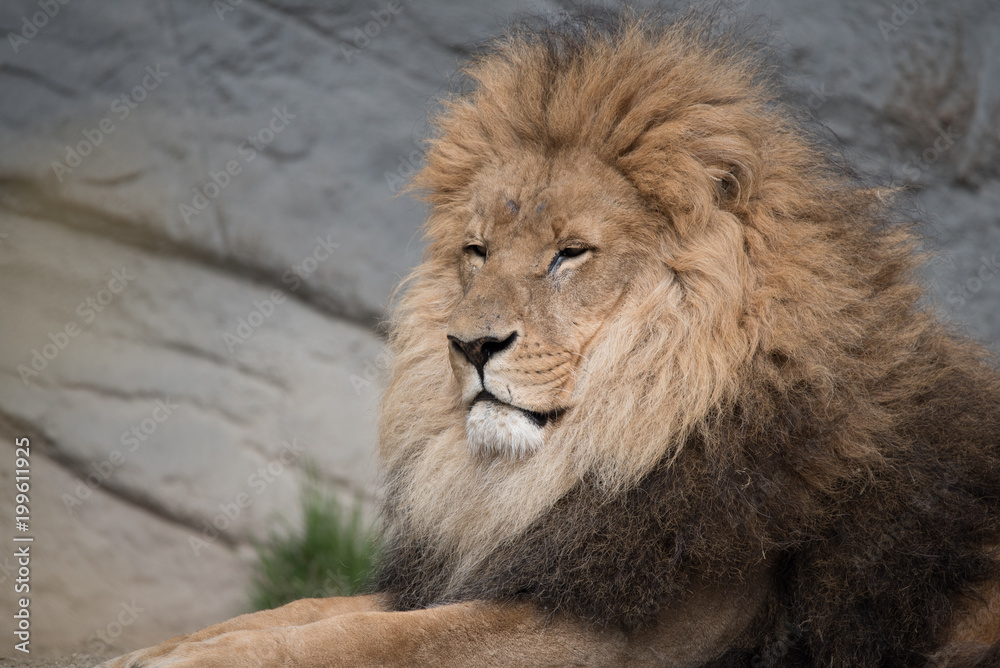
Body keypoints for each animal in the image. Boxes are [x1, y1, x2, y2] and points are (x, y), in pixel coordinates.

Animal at [100, 9, 1000, 668]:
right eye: (477, 251)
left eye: (570, 254)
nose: (468, 346)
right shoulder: (524, 565)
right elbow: (316, 606)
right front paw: (164, 648)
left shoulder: (636, 632)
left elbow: (389, 636)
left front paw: (191, 661)